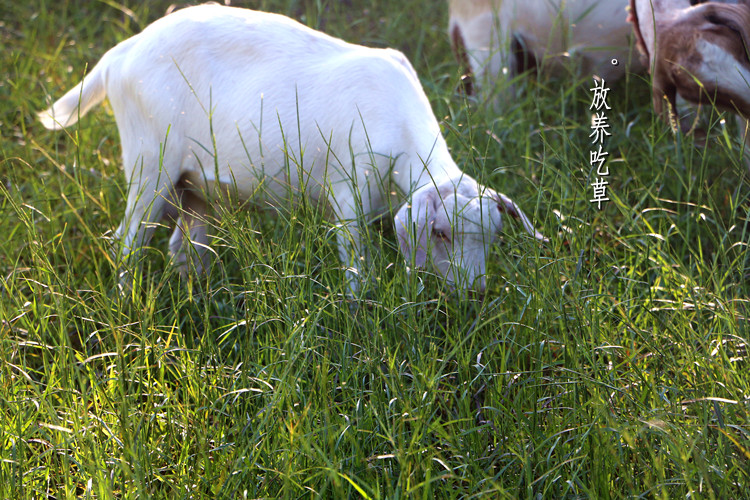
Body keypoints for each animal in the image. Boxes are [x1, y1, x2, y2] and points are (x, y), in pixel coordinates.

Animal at [38, 3, 548, 292]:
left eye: (493, 237)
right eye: (440, 233)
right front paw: (360, 314)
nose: (475, 292)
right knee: (126, 244)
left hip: (195, 185)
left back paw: (201, 302)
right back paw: (129, 307)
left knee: (184, 247)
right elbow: (356, 264)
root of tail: (120, 54)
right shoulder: (349, 188)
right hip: (150, 160)